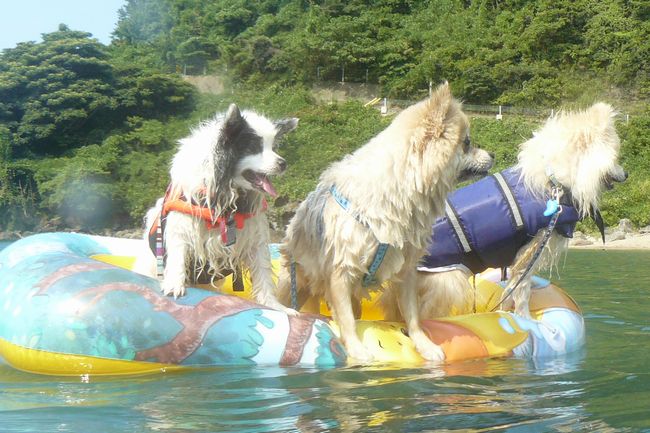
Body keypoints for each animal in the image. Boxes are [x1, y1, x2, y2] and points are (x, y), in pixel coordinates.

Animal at [135, 104, 298, 312]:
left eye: (273, 147)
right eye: (254, 147)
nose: (283, 163)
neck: (226, 192)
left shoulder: (254, 238)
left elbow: (262, 272)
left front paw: (274, 305)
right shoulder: (182, 227)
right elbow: (177, 255)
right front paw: (174, 285)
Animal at [276, 83, 494, 362]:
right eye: (466, 143)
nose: (493, 154)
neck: (395, 197)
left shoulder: (407, 269)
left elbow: (412, 315)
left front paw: (424, 345)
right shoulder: (341, 270)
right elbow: (346, 318)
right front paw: (356, 350)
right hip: (295, 277)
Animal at [410, 102, 627, 320]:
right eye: (616, 158)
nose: (626, 174)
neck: (554, 181)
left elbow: (510, 291)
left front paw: (506, 312)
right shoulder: (531, 249)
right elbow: (521, 289)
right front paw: (525, 319)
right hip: (448, 277)